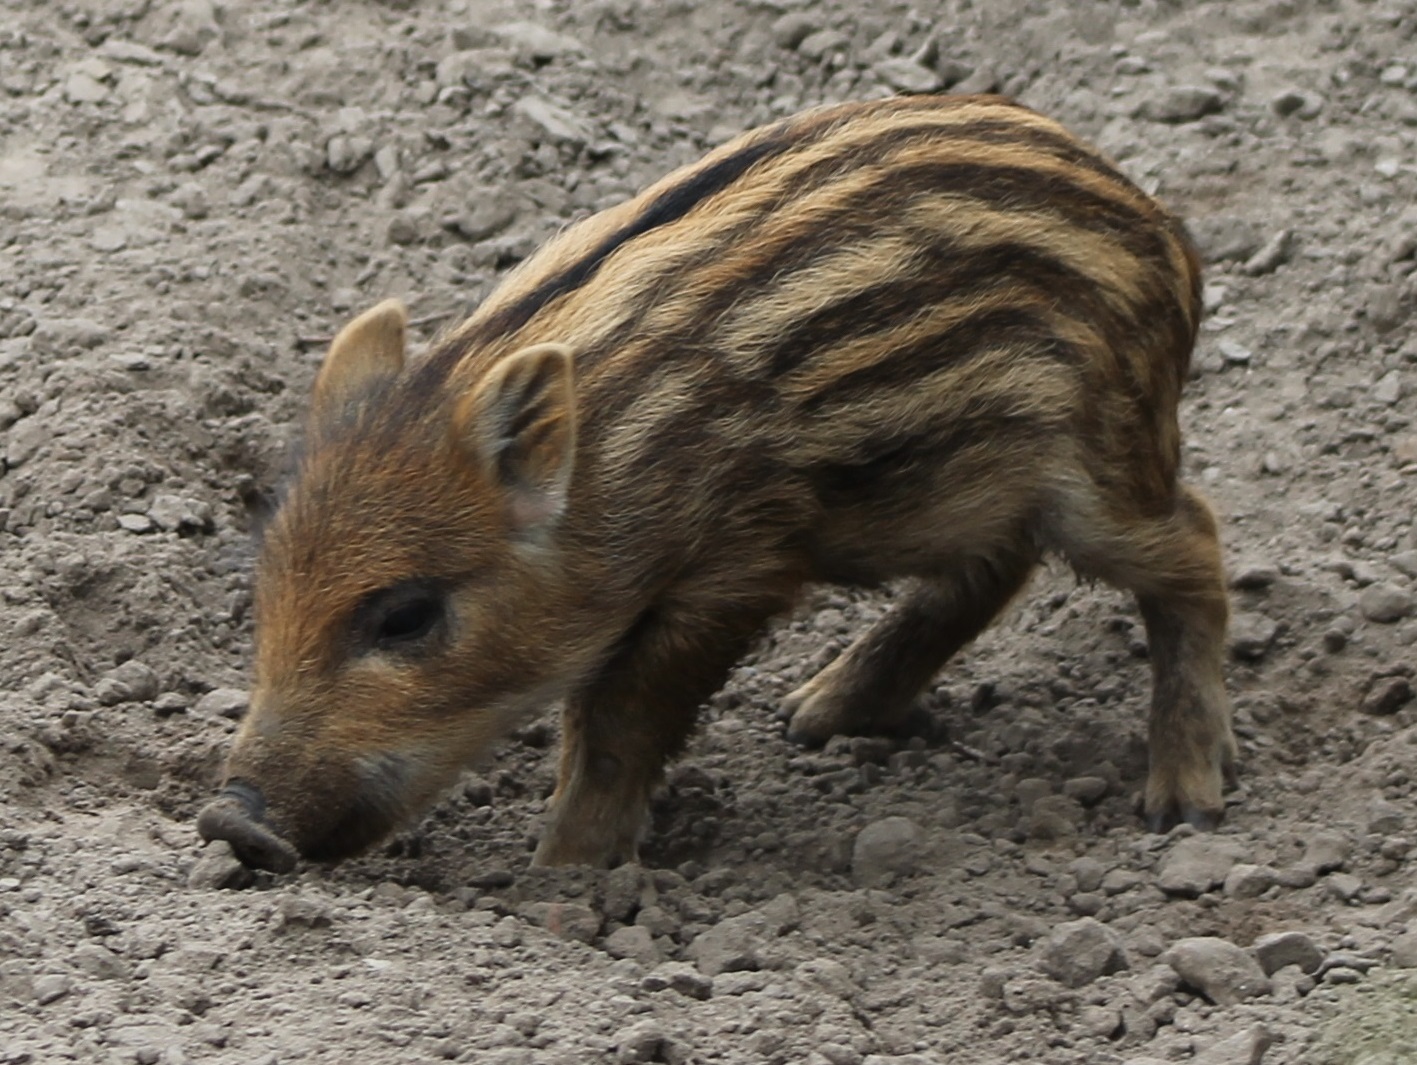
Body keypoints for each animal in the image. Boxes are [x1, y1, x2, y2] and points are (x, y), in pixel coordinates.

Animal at [197, 94, 1235, 872]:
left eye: (406, 615)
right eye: (263, 594)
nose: (231, 821)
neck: (614, 477)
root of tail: (1161, 225)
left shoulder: (736, 566)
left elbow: (620, 718)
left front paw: (560, 876)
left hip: (1100, 464)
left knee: (1193, 540)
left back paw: (1182, 805)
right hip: (950, 486)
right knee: (996, 568)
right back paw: (813, 717)